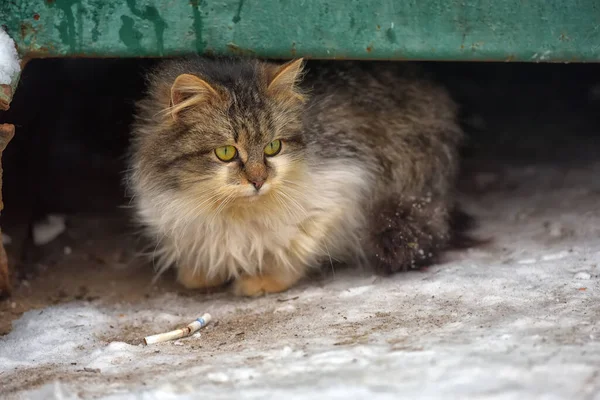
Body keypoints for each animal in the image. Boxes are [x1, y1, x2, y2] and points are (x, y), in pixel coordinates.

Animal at [126, 57, 464, 296]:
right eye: (225, 152)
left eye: (273, 147)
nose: (258, 181)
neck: (233, 211)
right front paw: (202, 273)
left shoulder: (341, 190)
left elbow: (293, 250)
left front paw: (261, 280)